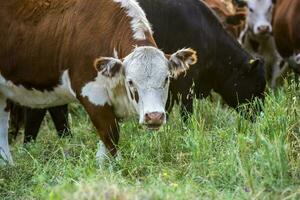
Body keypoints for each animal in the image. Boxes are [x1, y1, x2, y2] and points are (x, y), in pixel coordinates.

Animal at [0, 0, 197, 165]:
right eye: (131, 81)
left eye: (166, 78)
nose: (154, 116)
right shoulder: (91, 93)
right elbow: (111, 136)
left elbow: (105, 145)